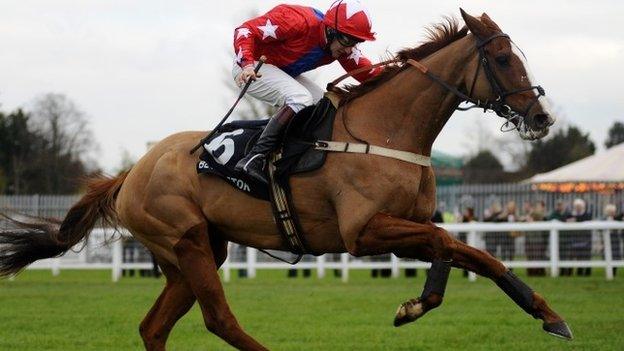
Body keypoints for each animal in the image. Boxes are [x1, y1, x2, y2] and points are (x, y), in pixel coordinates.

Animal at [0, 9, 572, 350]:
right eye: (503, 58)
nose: (542, 117)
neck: (384, 131)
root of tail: (133, 171)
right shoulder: (363, 232)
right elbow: (457, 246)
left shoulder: (405, 224)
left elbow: (458, 250)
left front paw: (541, 313)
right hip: (187, 240)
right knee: (219, 319)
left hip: (195, 252)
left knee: (154, 326)